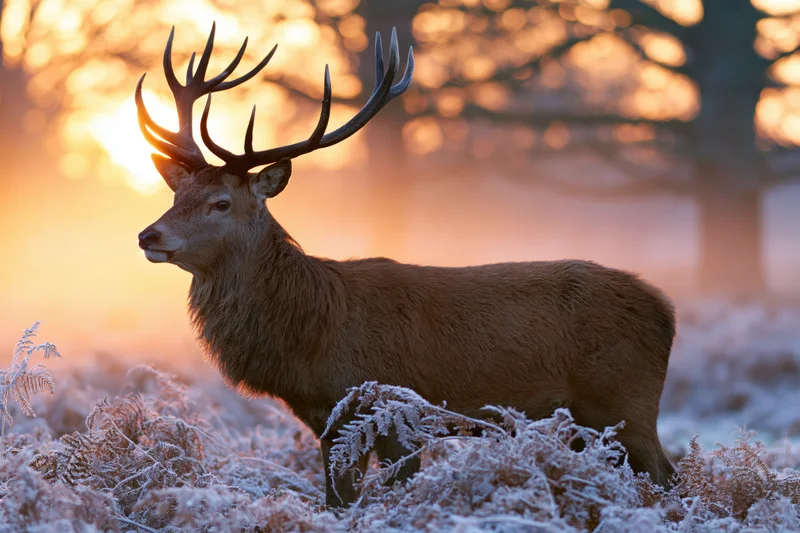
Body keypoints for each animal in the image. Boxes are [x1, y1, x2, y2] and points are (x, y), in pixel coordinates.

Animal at [135, 24, 677, 507]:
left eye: (221, 203)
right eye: (177, 194)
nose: (148, 235)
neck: (314, 335)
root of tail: (666, 310)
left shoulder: (398, 410)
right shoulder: (328, 421)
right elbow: (335, 502)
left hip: (624, 402)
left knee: (667, 478)